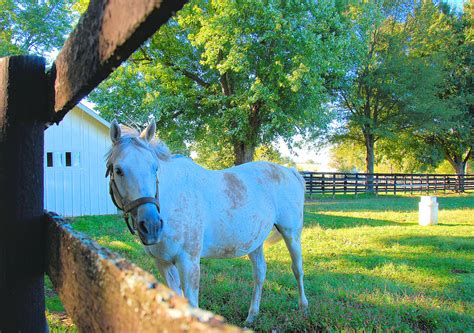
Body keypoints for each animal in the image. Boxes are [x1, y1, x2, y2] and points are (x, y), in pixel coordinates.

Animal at [105, 119, 310, 322]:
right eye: (118, 170)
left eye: (154, 168)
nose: (151, 226)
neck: (172, 198)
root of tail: (291, 172)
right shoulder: (163, 263)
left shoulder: (189, 262)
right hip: (255, 241)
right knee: (260, 273)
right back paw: (251, 316)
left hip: (291, 233)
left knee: (297, 269)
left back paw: (303, 307)